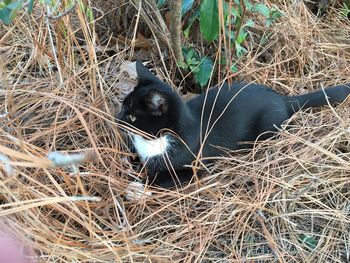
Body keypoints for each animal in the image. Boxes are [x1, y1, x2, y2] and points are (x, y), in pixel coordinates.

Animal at [118, 61, 350, 190]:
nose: (116, 117)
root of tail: (283, 99)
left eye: (132, 117)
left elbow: (162, 178)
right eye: (122, 107)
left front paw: (138, 184)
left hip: (267, 128)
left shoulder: (194, 166)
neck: (156, 141)